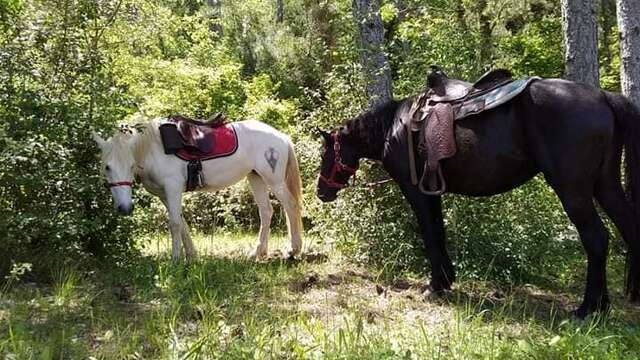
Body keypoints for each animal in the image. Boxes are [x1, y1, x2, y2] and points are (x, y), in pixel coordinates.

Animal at [93, 118, 304, 262]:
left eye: (130, 165)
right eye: (107, 167)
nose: (125, 208)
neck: (153, 151)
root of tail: (281, 136)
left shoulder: (173, 188)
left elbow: (174, 224)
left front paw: (175, 260)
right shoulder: (164, 195)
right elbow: (182, 223)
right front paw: (191, 256)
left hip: (274, 180)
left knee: (291, 206)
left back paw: (293, 249)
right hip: (256, 177)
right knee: (266, 211)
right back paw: (258, 252)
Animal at [318, 78, 640, 318]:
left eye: (324, 153)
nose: (322, 192)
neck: (394, 127)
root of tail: (603, 97)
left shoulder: (416, 191)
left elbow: (430, 232)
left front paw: (435, 284)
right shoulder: (432, 191)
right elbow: (439, 231)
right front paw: (445, 280)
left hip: (573, 189)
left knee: (596, 238)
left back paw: (587, 308)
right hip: (605, 184)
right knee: (627, 229)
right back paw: (603, 306)